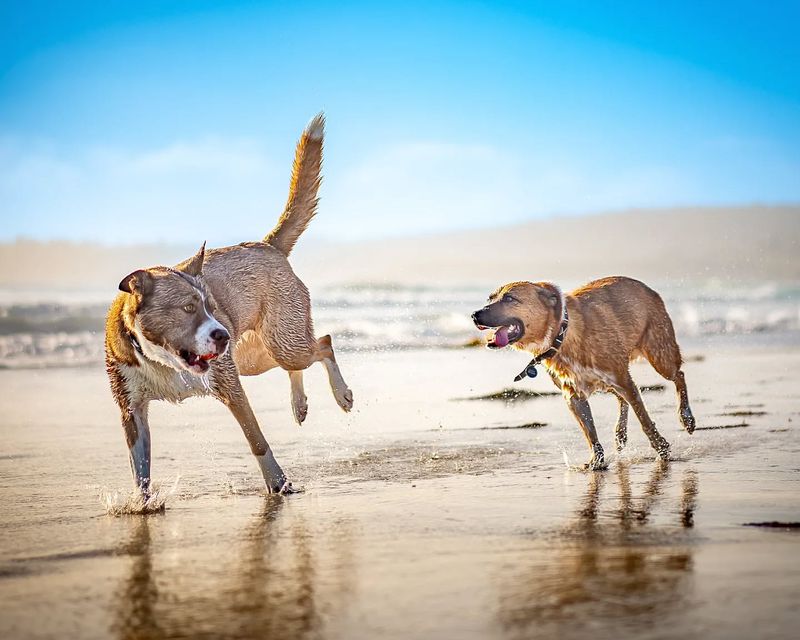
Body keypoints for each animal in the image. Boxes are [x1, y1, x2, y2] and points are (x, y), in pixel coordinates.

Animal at [105, 114, 354, 496]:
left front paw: (278, 484)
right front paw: (142, 503)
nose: (222, 334)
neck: (166, 361)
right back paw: (299, 405)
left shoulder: (230, 386)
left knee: (321, 344)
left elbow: (257, 440)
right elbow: (140, 469)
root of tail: (268, 246)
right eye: (188, 308)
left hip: (280, 341)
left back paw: (341, 395)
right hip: (252, 355)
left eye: (210, 305)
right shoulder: (130, 409)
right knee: (298, 359)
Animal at [476, 278, 692, 468]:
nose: (474, 315)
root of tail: (648, 288)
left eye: (509, 298)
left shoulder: (622, 379)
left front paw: (661, 448)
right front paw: (596, 461)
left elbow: (644, 420)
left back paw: (686, 417)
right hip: (612, 380)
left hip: (659, 354)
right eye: (490, 298)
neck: (562, 335)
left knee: (678, 375)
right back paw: (620, 433)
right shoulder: (573, 395)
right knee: (622, 398)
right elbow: (590, 432)